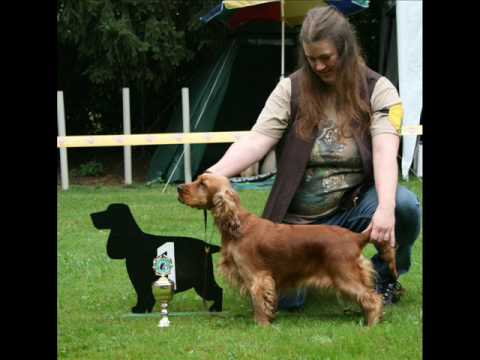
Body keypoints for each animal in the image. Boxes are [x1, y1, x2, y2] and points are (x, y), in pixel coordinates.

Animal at [177, 173, 398, 328]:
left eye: (203, 184)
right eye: (197, 179)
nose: (179, 188)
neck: (238, 227)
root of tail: (355, 237)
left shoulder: (257, 278)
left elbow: (259, 304)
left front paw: (262, 326)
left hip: (344, 276)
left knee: (373, 299)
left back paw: (371, 325)